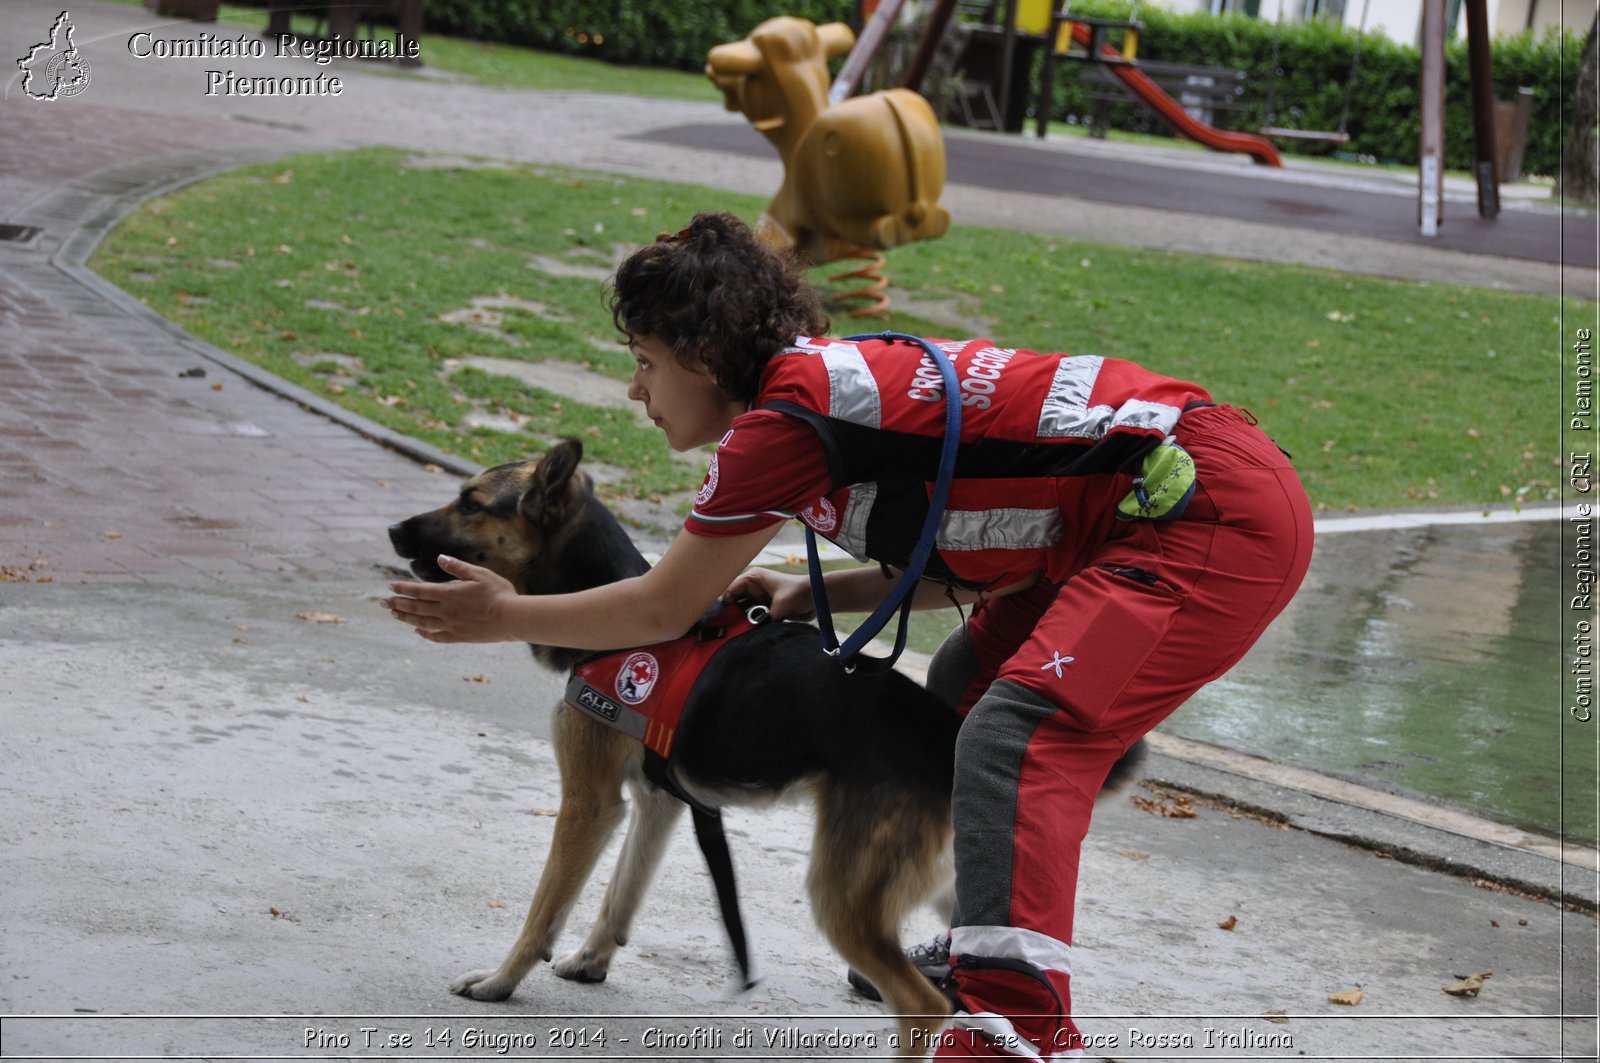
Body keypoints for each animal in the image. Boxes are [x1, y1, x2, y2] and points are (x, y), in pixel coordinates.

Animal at [387, 438, 960, 1043]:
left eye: (471, 504)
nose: (394, 531)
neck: (608, 617)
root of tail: (949, 740)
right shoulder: (655, 801)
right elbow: (620, 892)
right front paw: (591, 961)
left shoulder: (589, 805)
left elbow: (544, 911)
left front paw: (500, 981)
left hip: (841, 897)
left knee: (924, 1006)